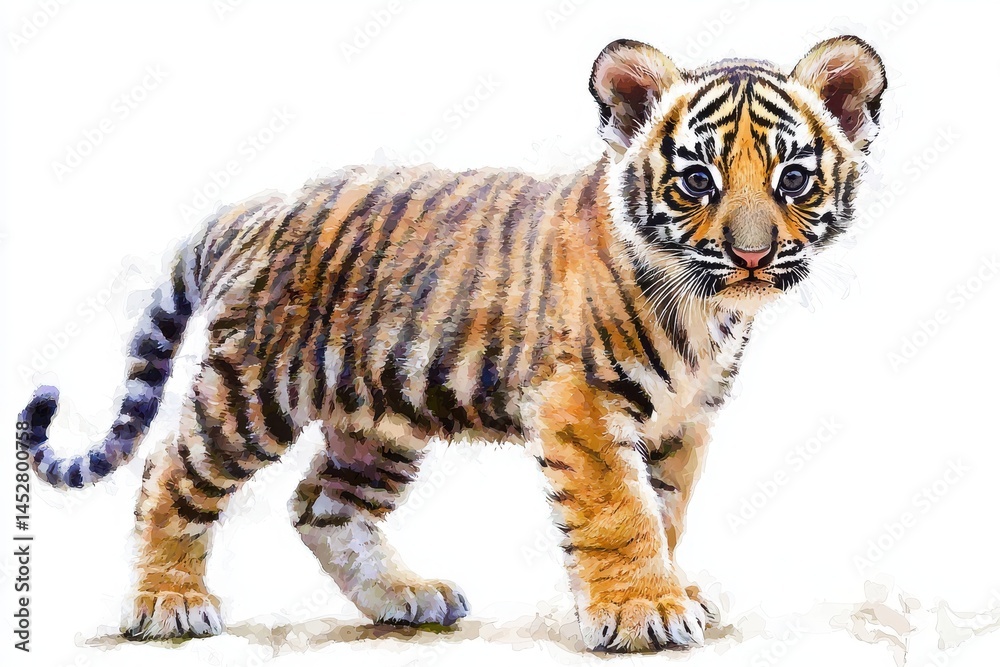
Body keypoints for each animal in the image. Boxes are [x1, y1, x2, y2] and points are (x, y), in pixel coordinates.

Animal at [18, 35, 885, 652]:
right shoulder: (583, 406)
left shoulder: (683, 420)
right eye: (698, 180)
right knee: (172, 468)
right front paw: (644, 610)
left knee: (322, 504)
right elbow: (621, 511)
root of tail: (255, 208)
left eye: (794, 179)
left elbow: (665, 508)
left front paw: (672, 589)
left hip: (377, 418)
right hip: (253, 387)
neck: (711, 313)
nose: (752, 256)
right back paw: (167, 601)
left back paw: (406, 598)